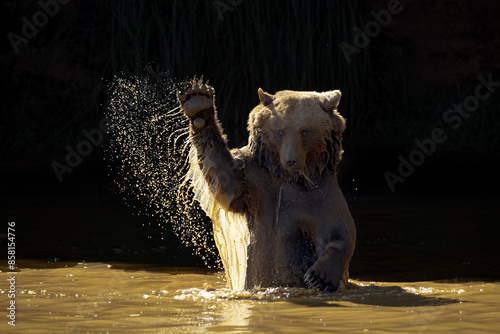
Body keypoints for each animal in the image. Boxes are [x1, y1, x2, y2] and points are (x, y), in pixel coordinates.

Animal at [176, 77, 356, 290]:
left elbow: (338, 231)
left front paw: (318, 277)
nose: (291, 160)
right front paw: (197, 102)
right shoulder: (257, 182)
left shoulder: (320, 196)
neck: (289, 178)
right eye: (280, 131)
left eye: (304, 130)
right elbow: (226, 181)